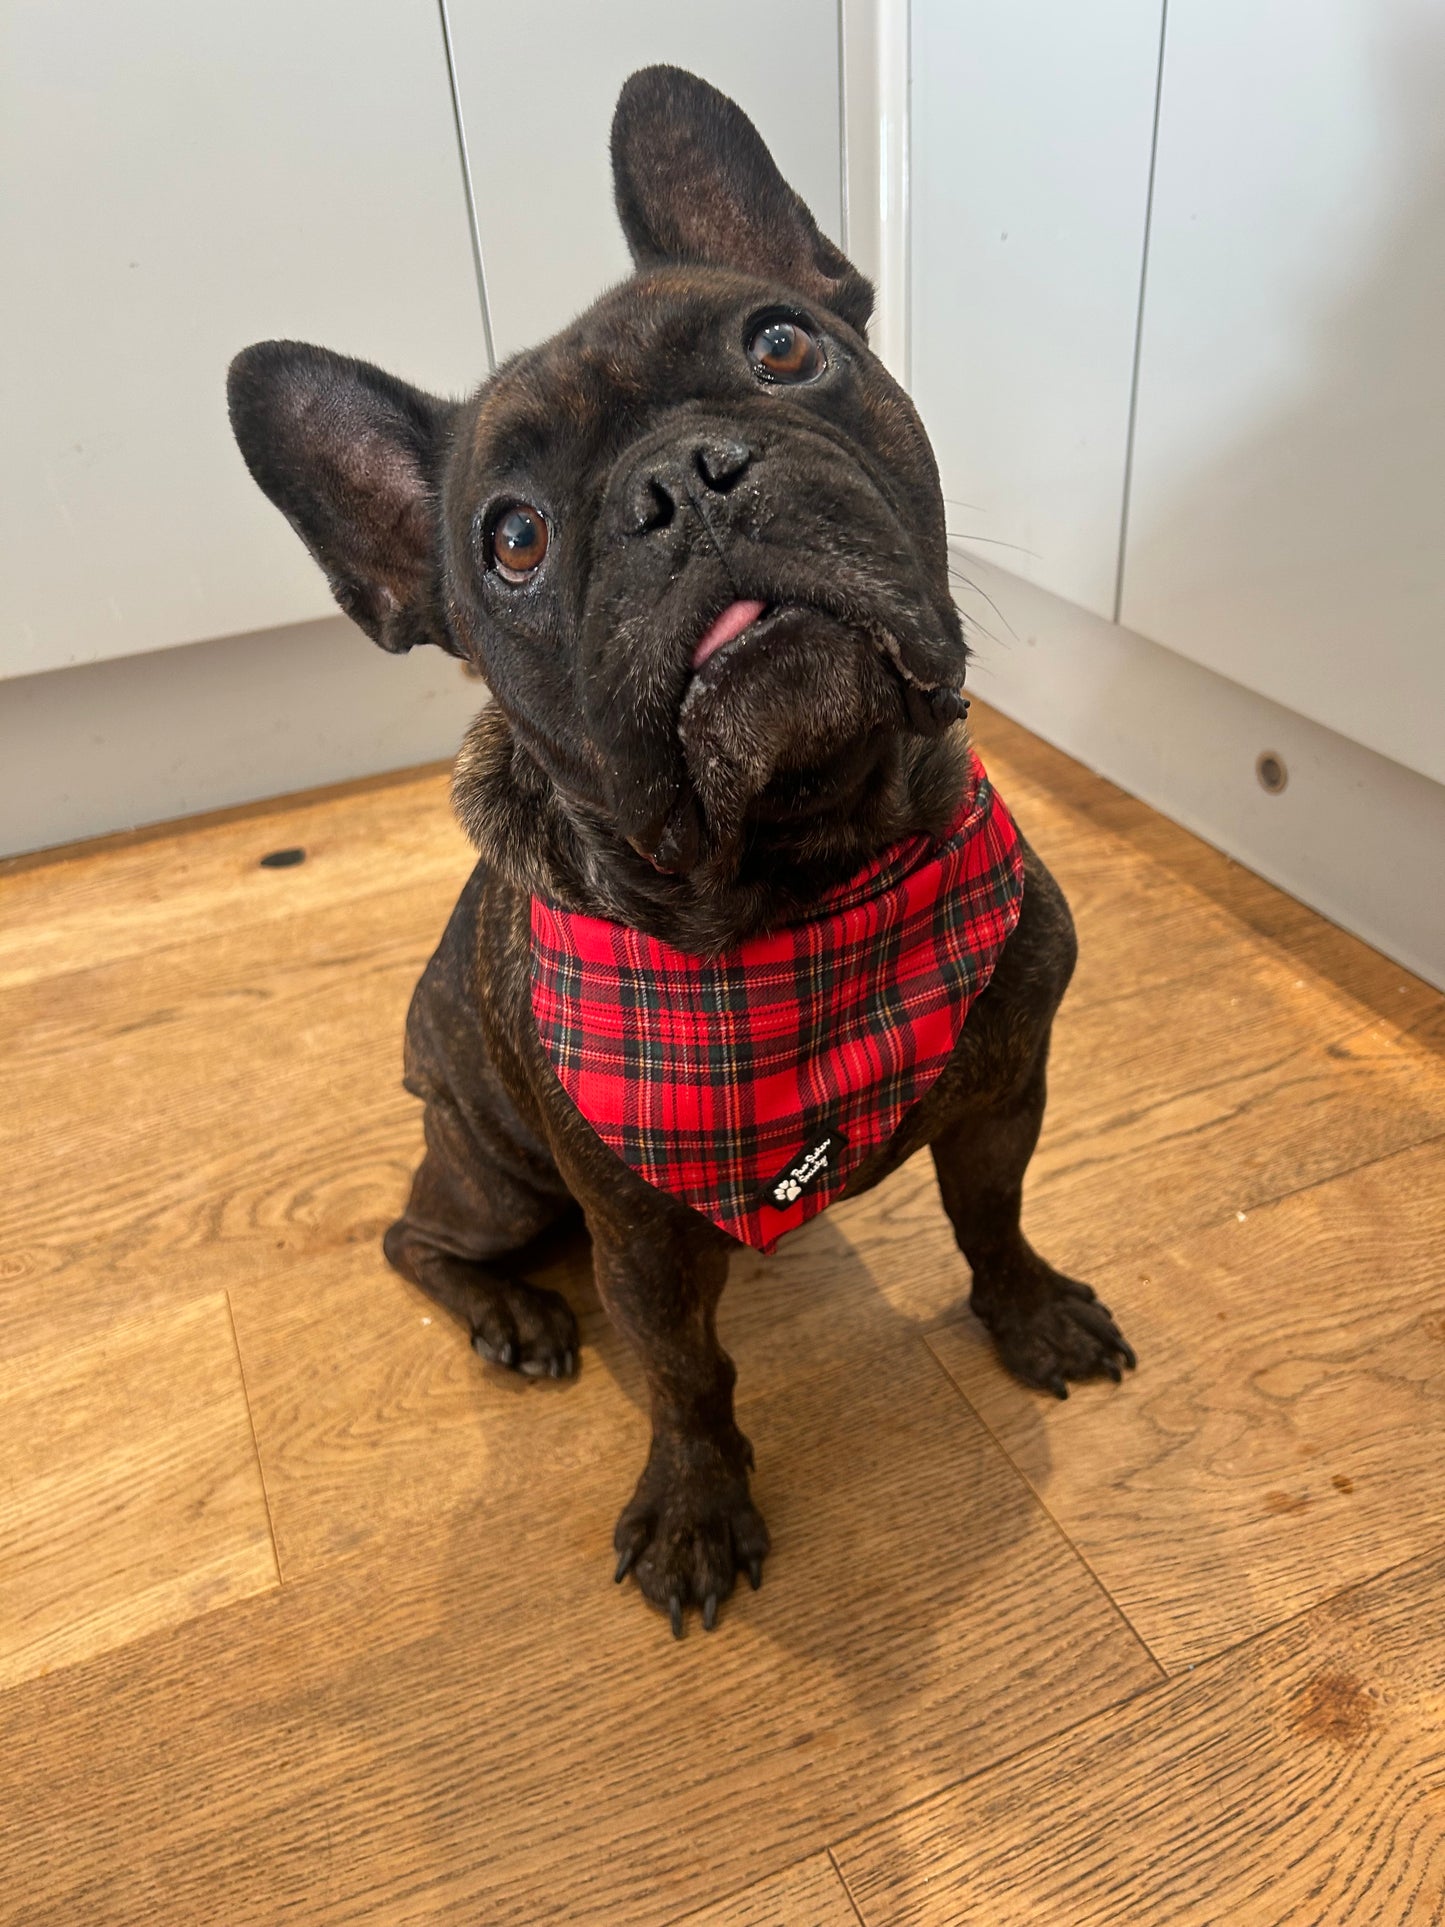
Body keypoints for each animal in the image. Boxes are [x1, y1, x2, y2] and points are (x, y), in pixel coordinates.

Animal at [229, 71, 1132, 1641]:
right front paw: (697, 1506)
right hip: (503, 1175)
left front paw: (1026, 1313)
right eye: (511, 540)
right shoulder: (637, 1238)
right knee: (414, 1238)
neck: (808, 868)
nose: (681, 484)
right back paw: (515, 1316)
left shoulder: (1004, 1092)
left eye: (782, 346)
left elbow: (992, 1214)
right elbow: (683, 1373)